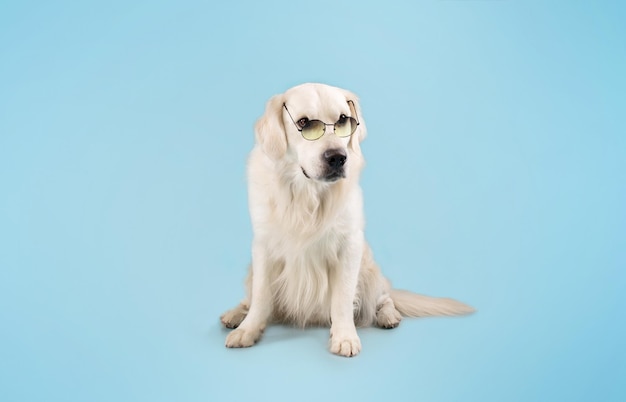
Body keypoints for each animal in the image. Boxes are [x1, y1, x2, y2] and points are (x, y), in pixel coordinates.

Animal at [221, 83, 472, 356]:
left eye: (343, 120)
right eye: (304, 122)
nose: (338, 158)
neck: (307, 195)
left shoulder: (349, 246)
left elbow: (341, 298)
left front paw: (344, 337)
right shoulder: (263, 246)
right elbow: (261, 296)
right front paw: (248, 329)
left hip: (369, 269)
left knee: (384, 297)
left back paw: (388, 316)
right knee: (250, 297)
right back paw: (235, 314)